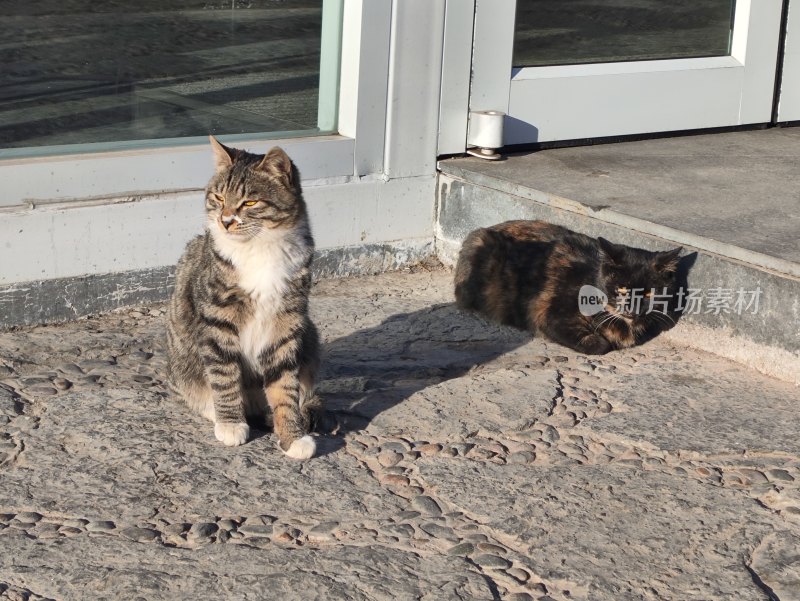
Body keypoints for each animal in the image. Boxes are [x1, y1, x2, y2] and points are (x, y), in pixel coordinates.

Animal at [166, 135, 322, 454]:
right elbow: (224, 376)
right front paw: (230, 423)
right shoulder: (217, 320)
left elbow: (284, 387)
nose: (226, 220)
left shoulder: (287, 323)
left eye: (249, 202)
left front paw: (292, 435)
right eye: (218, 198)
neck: (259, 249)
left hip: (309, 336)